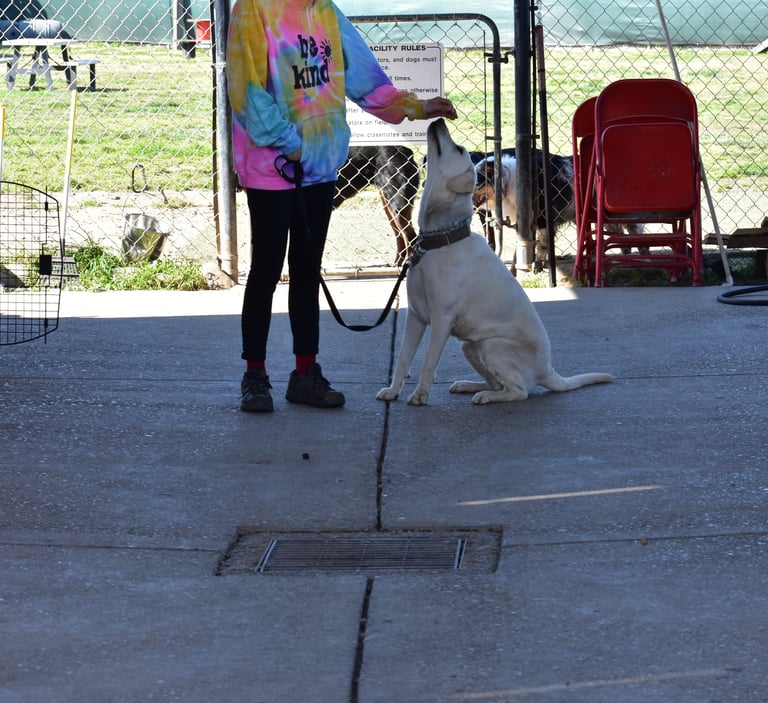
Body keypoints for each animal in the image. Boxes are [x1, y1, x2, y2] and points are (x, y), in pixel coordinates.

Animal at [376, 119, 613, 405]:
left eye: (458, 148)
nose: (440, 120)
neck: (442, 239)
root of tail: (548, 371)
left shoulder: (442, 319)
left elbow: (428, 363)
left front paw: (420, 395)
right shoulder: (416, 316)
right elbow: (402, 358)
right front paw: (392, 391)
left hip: (492, 346)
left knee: (519, 391)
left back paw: (486, 396)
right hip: (471, 345)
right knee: (498, 382)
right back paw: (470, 385)